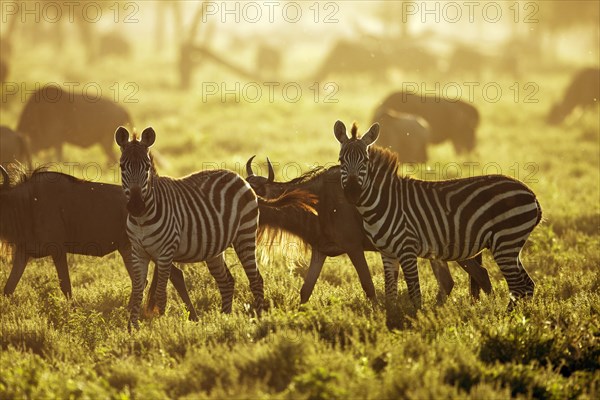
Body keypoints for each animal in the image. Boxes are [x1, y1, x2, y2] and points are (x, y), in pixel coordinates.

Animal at [116, 127, 266, 328]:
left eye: (147, 167)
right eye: (122, 167)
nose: (136, 206)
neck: (142, 219)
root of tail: (238, 176)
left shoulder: (165, 253)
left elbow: (160, 294)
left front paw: (160, 327)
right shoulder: (138, 252)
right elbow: (138, 290)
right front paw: (132, 327)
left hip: (245, 236)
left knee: (256, 279)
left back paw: (257, 317)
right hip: (214, 249)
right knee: (227, 282)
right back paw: (224, 320)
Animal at [332, 119, 544, 318]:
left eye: (366, 161)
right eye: (341, 160)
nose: (352, 193)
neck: (382, 202)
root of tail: (531, 193)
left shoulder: (407, 249)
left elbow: (414, 293)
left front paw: (416, 320)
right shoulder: (388, 253)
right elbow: (390, 293)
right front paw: (390, 320)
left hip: (505, 242)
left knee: (518, 286)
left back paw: (504, 319)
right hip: (511, 245)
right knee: (527, 285)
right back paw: (520, 318)